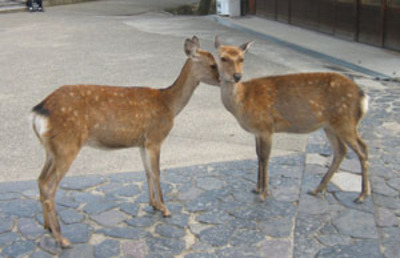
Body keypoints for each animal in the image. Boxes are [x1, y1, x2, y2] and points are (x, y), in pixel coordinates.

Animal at [31, 36, 219, 248]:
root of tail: (38, 113)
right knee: (49, 186)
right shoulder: (155, 137)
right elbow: (157, 172)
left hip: (51, 150)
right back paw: (62, 239)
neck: (169, 104)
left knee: (40, 180)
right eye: (213, 64)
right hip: (66, 146)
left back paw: (47, 227)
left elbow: (147, 172)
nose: (231, 78)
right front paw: (165, 208)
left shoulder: (142, 142)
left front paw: (154, 204)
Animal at [214, 36, 370, 204]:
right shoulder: (257, 132)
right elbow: (258, 156)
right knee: (346, 150)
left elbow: (265, 158)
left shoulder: (266, 127)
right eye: (223, 58)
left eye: (241, 58)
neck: (243, 100)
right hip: (332, 126)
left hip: (345, 121)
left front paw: (264, 193)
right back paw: (317, 189)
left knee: (360, 151)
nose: (237, 76)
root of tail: (363, 96)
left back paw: (361, 195)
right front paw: (256, 188)